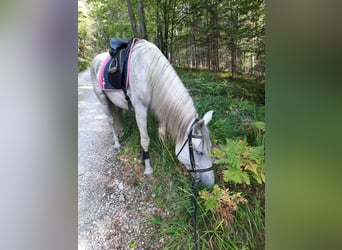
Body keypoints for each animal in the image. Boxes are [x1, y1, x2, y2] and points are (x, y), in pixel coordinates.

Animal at [91, 38, 214, 185]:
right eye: (199, 152)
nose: (211, 183)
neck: (149, 72)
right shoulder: (140, 110)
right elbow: (145, 140)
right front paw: (148, 169)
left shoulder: (160, 111)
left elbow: (162, 136)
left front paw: (164, 157)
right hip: (102, 98)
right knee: (110, 121)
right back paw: (117, 143)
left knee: (118, 115)